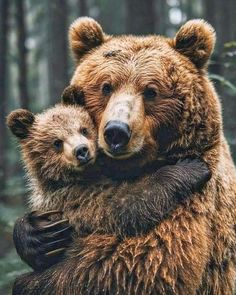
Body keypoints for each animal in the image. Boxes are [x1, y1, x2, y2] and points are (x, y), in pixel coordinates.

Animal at [13, 18, 236, 295]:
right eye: (106, 86)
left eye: (151, 91)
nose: (116, 132)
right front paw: (35, 235)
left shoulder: (195, 208)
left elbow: (137, 264)